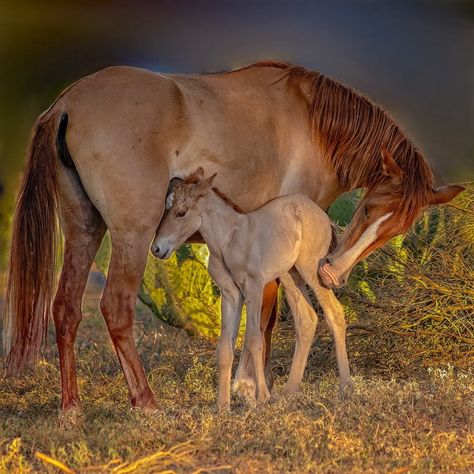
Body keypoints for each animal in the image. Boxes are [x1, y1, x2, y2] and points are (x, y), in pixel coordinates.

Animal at [153, 168, 352, 412]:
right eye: (166, 209)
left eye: (181, 213)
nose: (157, 248)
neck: (229, 240)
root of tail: (322, 216)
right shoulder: (230, 295)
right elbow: (225, 347)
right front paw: (223, 406)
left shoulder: (254, 287)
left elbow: (254, 338)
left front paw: (261, 397)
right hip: (290, 275)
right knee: (307, 319)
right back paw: (289, 393)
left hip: (311, 271)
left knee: (334, 313)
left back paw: (346, 388)